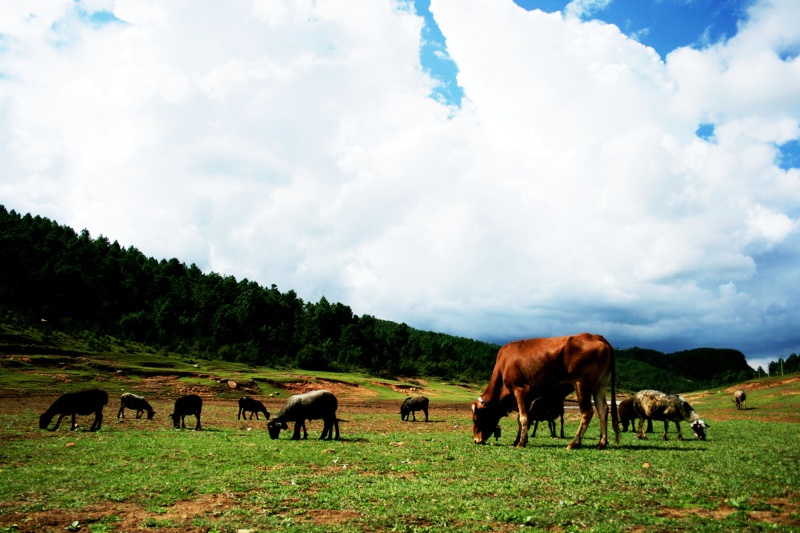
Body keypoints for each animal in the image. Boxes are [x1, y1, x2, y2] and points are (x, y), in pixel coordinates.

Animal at [468, 332, 620, 448]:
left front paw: (520, 443)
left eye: (476, 418)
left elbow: (523, 418)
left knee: (587, 412)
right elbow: (522, 419)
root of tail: (596, 336)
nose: (476, 440)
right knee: (603, 410)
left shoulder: (520, 389)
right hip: (600, 385)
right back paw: (602, 443)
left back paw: (574, 443)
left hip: (582, 384)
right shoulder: (529, 396)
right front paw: (519, 440)